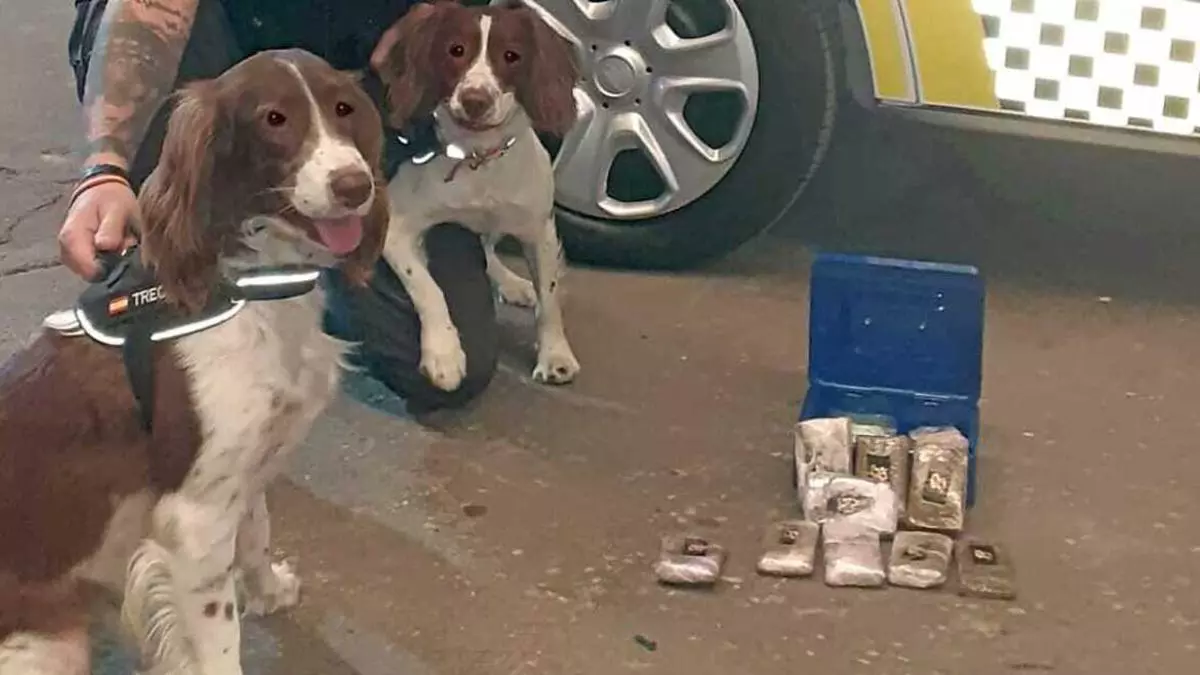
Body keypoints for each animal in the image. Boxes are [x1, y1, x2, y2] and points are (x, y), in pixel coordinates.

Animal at [0, 49, 387, 675]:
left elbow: (257, 533)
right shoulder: (196, 520)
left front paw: (268, 590)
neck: (250, 289)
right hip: (51, 644)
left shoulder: (244, 471)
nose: (356, 186)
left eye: (344, 108)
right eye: (274, 119)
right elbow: (220, 641)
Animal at [370, 0, 582, 392]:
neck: (477, 158)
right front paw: (444, 355)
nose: (475, 101)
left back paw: (513, 283)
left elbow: (550, 300)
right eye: (456, 50)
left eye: (511, 56)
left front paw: (555, 355)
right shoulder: (394, 230)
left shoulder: (540, 231)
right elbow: (428, 287)